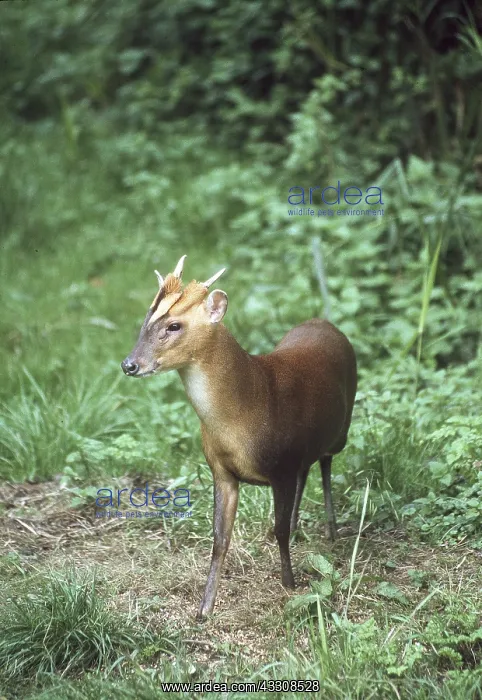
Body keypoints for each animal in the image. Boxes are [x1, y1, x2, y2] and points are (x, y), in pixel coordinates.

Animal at [121, 255, 357, 618]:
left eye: (174, 326)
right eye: (147, 319)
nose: (129, 364)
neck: (245, 413)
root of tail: (326, 322)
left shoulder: (281, 468)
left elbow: (277, 530)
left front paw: (289, 583)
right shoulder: (221, 471)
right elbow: (219, 538)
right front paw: (204, 608)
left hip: (340, 429)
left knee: (327, 464)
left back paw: (331, 530)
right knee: (308, 469)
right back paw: (300, 524)